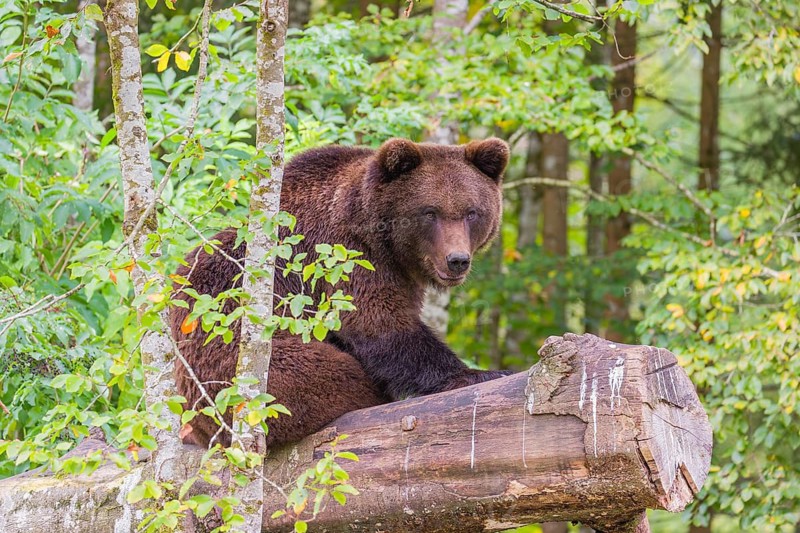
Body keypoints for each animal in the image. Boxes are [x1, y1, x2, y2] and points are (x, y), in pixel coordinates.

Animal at [170, 137, 513, 449]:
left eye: (472, 212)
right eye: (430, 212)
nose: (457, 260)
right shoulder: (344, 256)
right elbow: (380, 325)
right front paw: (483, 373)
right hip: (249, 380)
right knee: (333, 376)